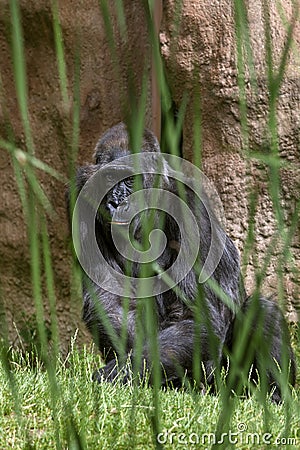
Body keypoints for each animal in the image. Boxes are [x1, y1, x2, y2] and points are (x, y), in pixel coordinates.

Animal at [69, 121, 296, 402]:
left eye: (130, 180)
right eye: (109, 179)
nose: (116, 202)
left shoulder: (190, 205)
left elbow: (197, 316)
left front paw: (120, 372)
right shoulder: (81, 198)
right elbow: (111, 303)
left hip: (220, 382)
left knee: (264, 311)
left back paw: (273, 397)